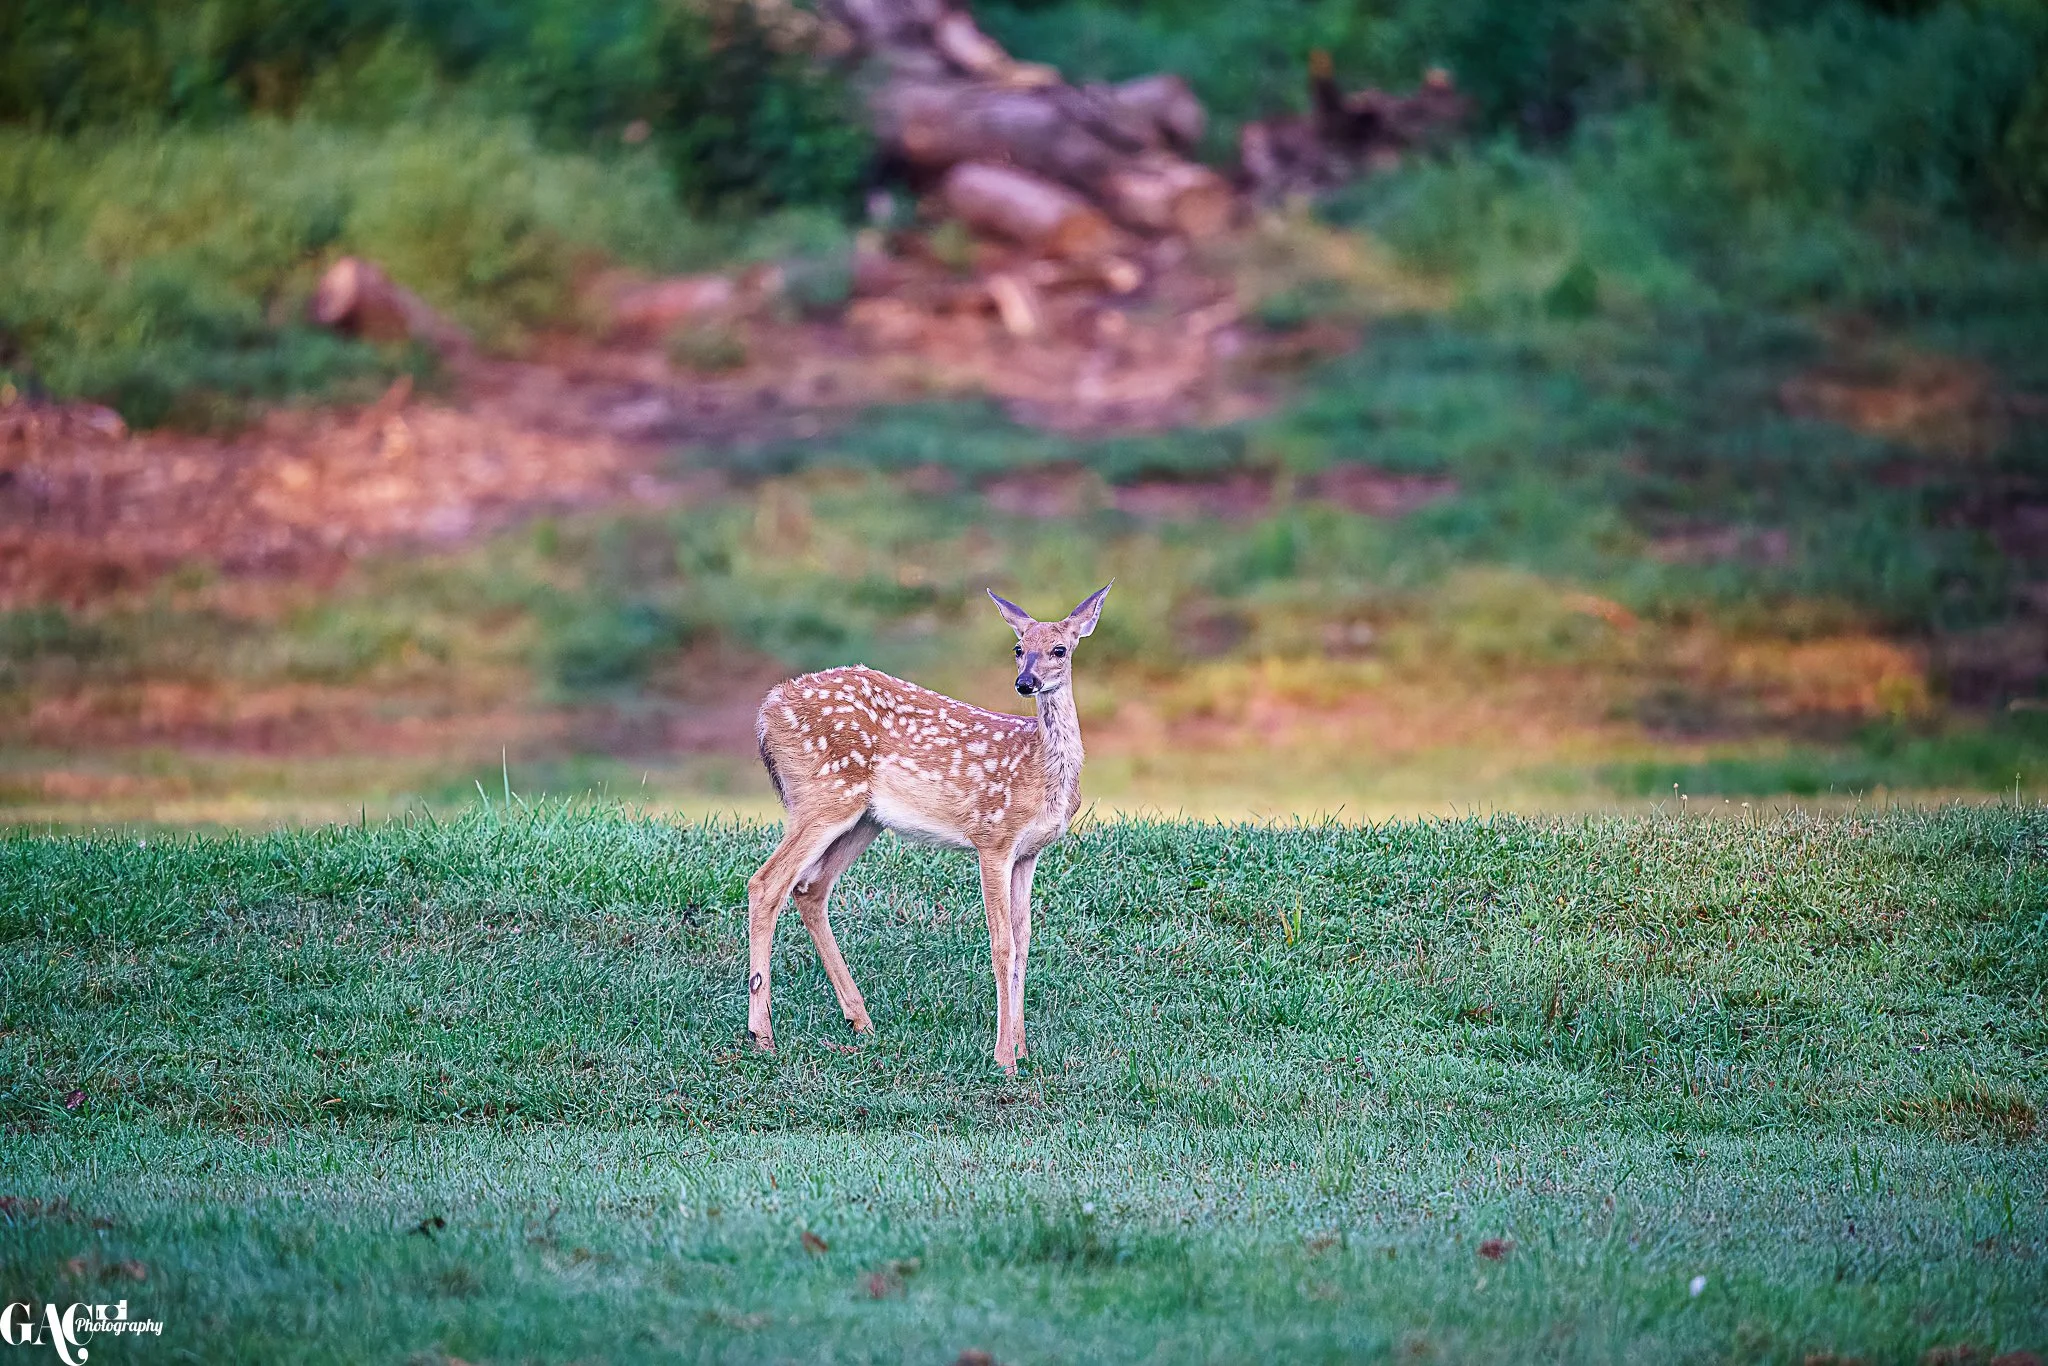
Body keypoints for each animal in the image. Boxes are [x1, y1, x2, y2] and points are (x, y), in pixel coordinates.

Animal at [746, 583, 1111, 1074]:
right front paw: (1004, 1059)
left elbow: (1024, 942)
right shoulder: (992, 837)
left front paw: (1022, 1048)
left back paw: (860, 1021)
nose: (1026, 682)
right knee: (767, 883)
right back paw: (762, 1035)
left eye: (1060, 649)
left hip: (864, 818)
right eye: (1018, 648)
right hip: (824, 796)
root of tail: (768, 710)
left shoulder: (1029, 852)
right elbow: (1002, 944)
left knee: (810, 887)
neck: (1040, 769)